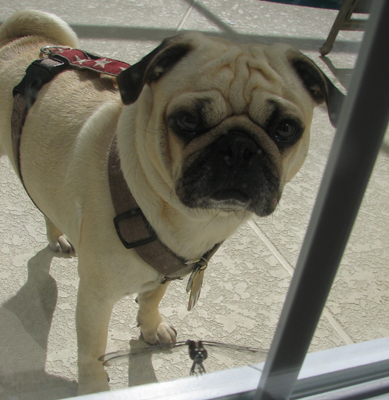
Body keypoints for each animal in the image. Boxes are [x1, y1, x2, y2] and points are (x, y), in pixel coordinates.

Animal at [0, 9, 340, 394]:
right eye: (187, 120)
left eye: (285, 129)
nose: (238, 146)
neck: (191, 220)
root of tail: (17, 42)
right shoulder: (95, 299)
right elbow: (92, 350)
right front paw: (93, 387)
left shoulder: (168, 269)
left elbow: (152, 297)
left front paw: (150, 327)